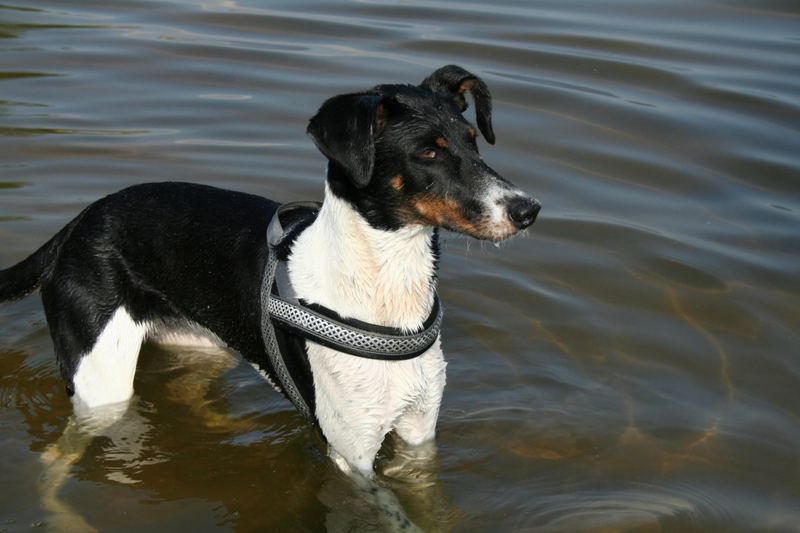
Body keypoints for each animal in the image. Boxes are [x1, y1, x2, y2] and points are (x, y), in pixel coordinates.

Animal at [0, 65, 540, 478]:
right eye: (428, 151)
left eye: (473, 142)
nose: (528, 210)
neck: (385, 294)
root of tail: (77, 223)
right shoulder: (351, 452)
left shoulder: (418, 432)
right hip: (101, 380)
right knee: (61, 450)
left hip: (202, 345)